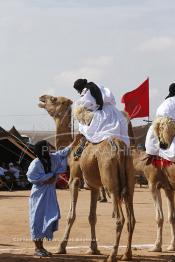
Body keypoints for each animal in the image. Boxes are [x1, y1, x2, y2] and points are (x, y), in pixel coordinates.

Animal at [39, 94, 136, 262]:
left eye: (53, 99)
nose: (41, 98)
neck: (71, 148)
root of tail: (120, 150)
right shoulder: (94, 186)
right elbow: (92, 217)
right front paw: (93, 248)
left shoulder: (74, 179)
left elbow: (71, 215)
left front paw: (61, 247)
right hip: (129, 181)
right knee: (131, 219)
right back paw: (126, 254)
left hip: (111, 183)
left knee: (120, 218)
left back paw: (112, 254)